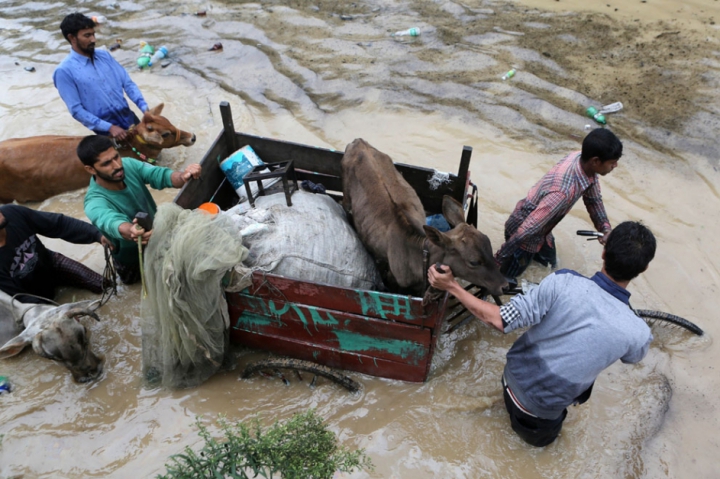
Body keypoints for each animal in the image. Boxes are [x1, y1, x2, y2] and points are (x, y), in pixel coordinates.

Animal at [342, 137, 506, 298]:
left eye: (490, 248)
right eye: (474, 262)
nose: (504, 286)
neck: (416, 255)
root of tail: (359, 141)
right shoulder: (394, 279)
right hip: (346, 196)